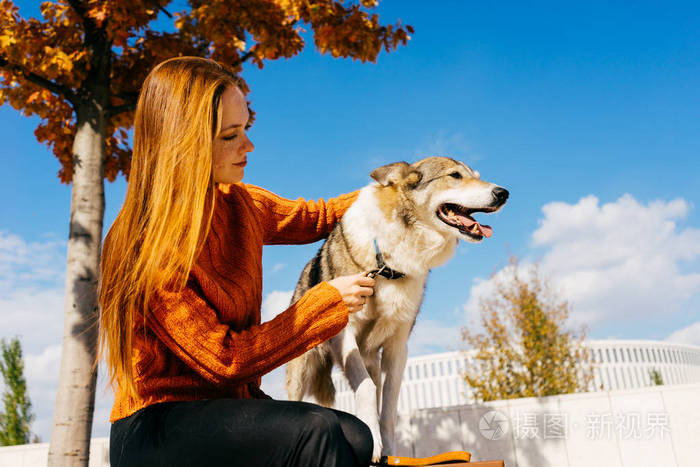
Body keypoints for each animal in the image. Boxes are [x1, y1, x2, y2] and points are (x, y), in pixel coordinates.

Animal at [284, 157, 508, 460]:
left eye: (476, 175)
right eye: (455, 176)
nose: (503, 193)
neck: (388, 264)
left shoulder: (397, 347)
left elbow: (389, 406)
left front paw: (388, 448)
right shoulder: (346, 336)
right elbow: (366, 390)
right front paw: (373, 439)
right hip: (301, 372)